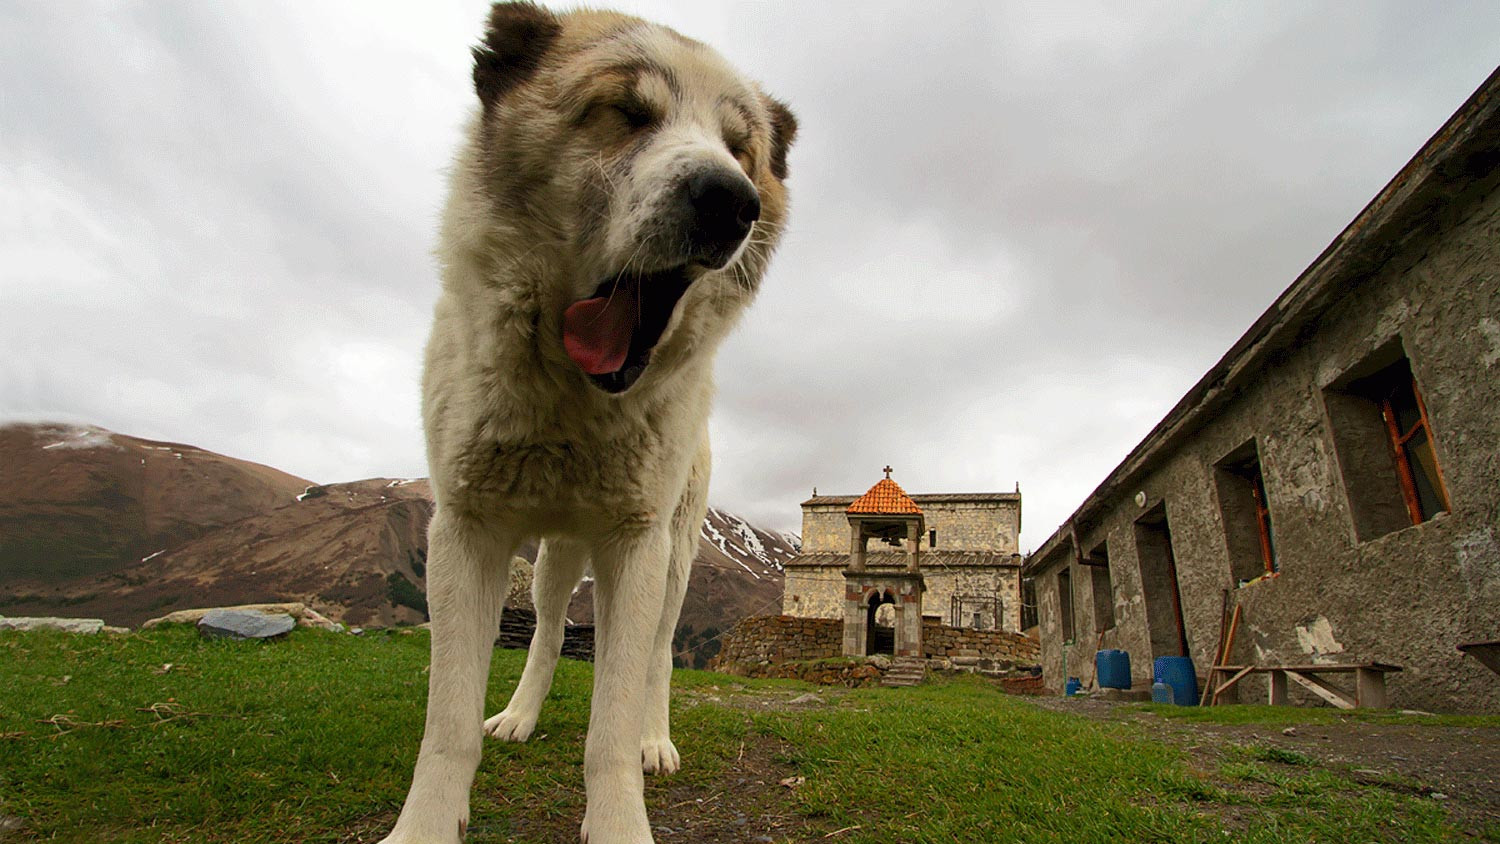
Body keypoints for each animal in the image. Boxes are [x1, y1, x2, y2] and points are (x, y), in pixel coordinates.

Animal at [378, 3, 798, 839]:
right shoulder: (465, 530)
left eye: (741, 148)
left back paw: (654, 740)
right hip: (552, 560)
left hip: (674, 558)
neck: (571, 406)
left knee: (659, 657)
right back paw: (519, 715)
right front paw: (428, 821)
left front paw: (619, 810)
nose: (731, 199)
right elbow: (447, 724)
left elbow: (612, 721)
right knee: (544, 633)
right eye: (627, 112)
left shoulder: (636, 545)